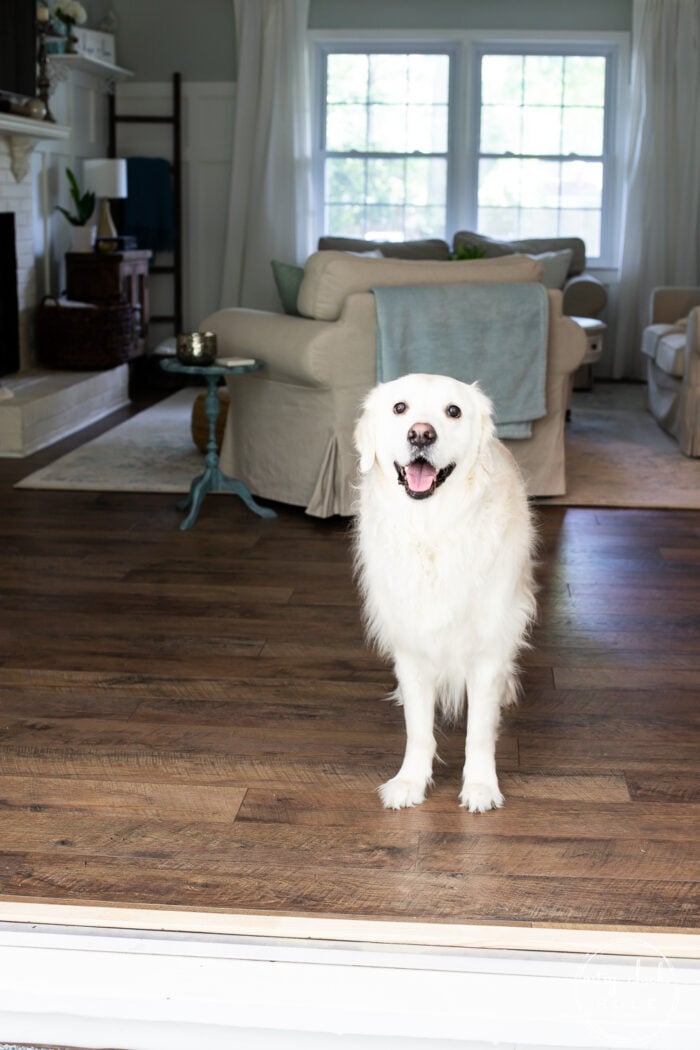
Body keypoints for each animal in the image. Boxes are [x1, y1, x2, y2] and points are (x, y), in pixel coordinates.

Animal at [356, 373, 537, 814]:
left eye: (453, 411)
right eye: (400, 407)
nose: (421, 434)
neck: (432, 529)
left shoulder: (488, 646)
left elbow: (479, 732)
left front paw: (481, 786)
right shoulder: (412, 645)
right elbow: (419, 729)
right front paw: (410, 781)